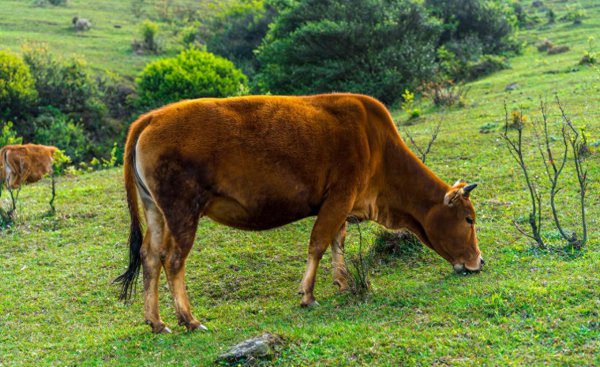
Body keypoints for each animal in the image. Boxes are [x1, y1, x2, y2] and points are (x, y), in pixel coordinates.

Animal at [116, 94, 482, 334]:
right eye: (469, 219)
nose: (478, 261)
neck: (377, 146)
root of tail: (151, 118)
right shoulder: (339, 197)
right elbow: (318, 243)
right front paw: (307, 295)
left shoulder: (343, 204)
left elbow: (337, 241)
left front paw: (342, 283)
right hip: (183, 211)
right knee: (173, 259)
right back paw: (189, 320)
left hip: (156, 212)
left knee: (150, 257)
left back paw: (156, 322)